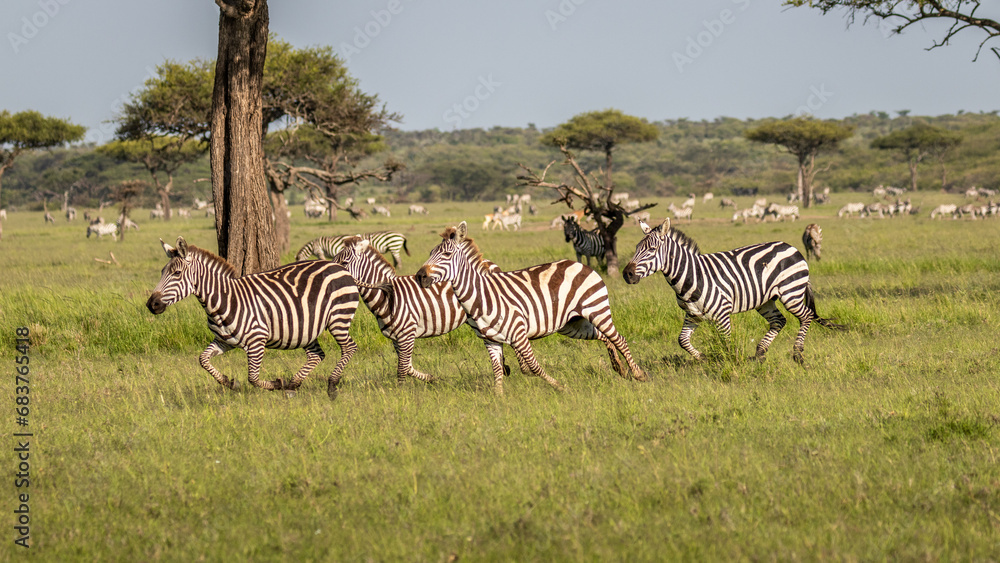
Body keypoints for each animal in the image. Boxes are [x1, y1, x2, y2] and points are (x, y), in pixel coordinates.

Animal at [146, 237, 360, 399]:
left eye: (177, 273)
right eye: (162, 272)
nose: (151, 304)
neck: (222, 301)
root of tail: (336, 265)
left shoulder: (257, 340)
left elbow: (253, 377)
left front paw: (276, 383)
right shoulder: (224, 340)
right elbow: (203, 360)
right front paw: (229, 382)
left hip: (338, 317)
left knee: (349, 347)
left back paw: (331, 385)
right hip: (306, 327)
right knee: (317, 355)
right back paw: (293, 384)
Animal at [328, 233, 502, 383]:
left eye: (344, 263)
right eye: (333, 260)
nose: (332, 276)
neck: (389, 296)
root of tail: (490, 263)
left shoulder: (407, 335)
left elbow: (402, 369)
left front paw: (402, 394)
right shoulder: (396, 338)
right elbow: (408, 367)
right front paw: (430, 378)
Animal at [415, 221, 645, 394]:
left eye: (446, 255)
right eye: (430, 252)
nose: (420, 276)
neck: (481, 296)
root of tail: (580, 264)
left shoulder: (518, 333)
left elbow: (533, 366)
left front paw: (560, 387)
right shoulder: (490, 341)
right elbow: (497, 371)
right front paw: (499, 399)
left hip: (596, 309)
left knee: (619, 339)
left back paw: (638, 374)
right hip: (573, 323)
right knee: (604, 336)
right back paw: (620, 368)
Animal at [623, 219, 843, 364]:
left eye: (651, 250)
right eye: (636, 248)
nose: (627, 274)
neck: (691, 276)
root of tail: (791, 247)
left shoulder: (722, 313)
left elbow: (726, 342)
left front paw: (730, 364)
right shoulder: (692, 314)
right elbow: (682, 340)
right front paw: (702, 358)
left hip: (791, 292)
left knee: (806, 316)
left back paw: (797, 354)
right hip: (766, 300)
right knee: (779, 321)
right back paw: (760, 354)